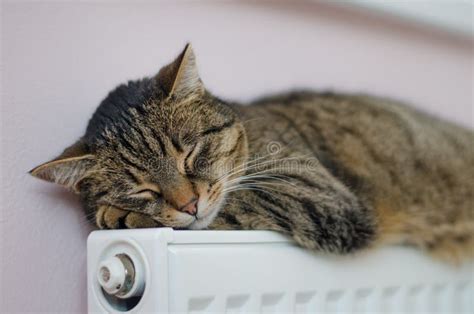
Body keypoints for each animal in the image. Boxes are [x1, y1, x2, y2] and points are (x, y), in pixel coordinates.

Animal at [30, 43, 474, 262]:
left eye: (190, 154)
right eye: (142, 189)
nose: (189, 204)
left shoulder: (318, 194)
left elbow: (237, 201)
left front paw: (119, 216)